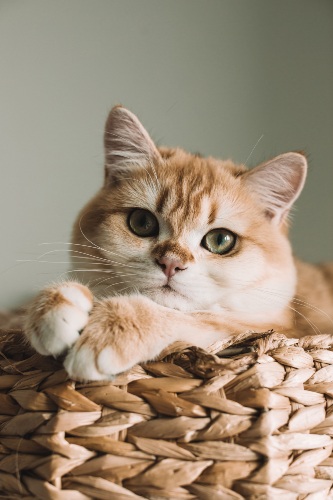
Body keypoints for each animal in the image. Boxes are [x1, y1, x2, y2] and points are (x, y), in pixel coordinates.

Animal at [22, 104, 332, 378]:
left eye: (221, 240)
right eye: (142, 223)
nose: (170, 263)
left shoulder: (276, 329)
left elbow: (192, 317)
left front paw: (113, 328)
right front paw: (55, 304)